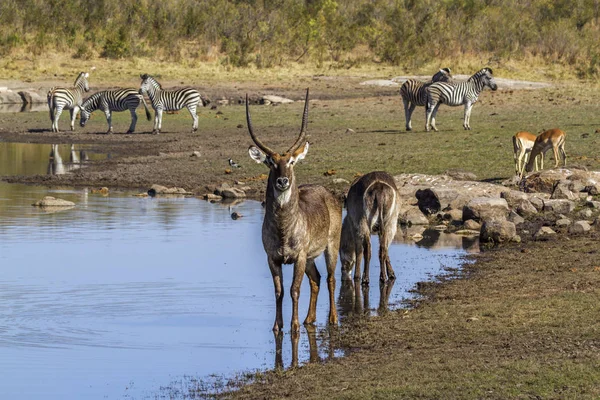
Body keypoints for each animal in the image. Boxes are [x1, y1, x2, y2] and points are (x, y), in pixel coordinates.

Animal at [246, 89, 342, 332]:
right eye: (270, 162)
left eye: (291, 161)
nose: (282, 181)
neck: (283, 229)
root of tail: (328, 193)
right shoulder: (273, 259)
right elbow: (279, 291)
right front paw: (277, 326)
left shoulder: (298, 257)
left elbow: (294, 290)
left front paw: (294, 325)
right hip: (310, 258)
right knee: (316, 279)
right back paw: (310, 318)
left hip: (331, 246)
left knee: (330, 278)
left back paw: (332, 319)